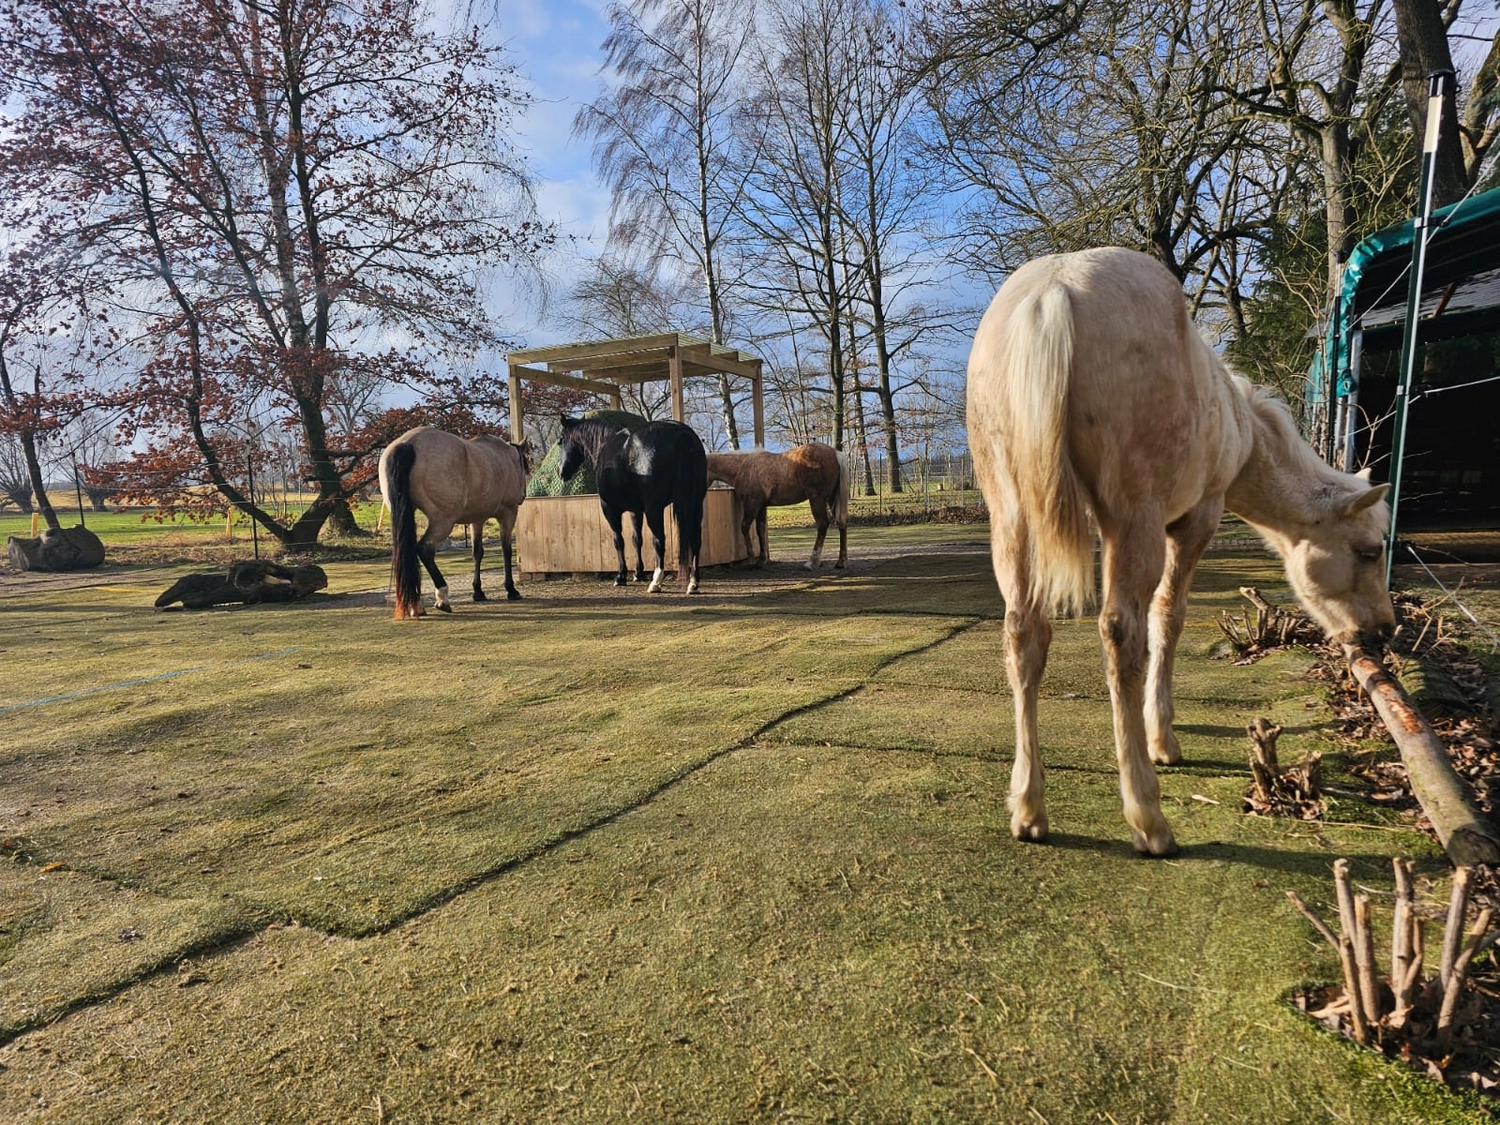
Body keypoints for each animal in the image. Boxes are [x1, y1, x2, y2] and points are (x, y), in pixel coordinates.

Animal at [378, 426, 531, 619]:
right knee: (425, 549)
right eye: (525, 465)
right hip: (443, 520)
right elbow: (506, 551)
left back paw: (415, 605)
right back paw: (442, 597)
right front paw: (511, 590)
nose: (523, 496)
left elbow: (477, 553)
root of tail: (407, 444)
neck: (504, 457)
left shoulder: (477, 520)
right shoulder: (508, 514)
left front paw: (478, 591)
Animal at [556, 416, 707, 594]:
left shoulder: (609, 508)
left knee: (659, 540)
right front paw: (638, 573)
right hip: (696, 504)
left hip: (654, 508)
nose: (561, 471)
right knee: (696, 540)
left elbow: (618, 540)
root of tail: (681, 434)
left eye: (560, 440)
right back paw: (693, 583)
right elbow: (637, 539)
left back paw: (656, 582)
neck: (604, 444)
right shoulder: (636, 510)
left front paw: (621, 576)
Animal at [705, 443, 849, 569]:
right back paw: (840, 562)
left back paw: (812, 562)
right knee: (841, 523)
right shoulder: (761, 506)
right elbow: (760, 529)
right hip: (832, 499)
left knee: (822, 524)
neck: (743, 466)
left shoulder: (752, 503)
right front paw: (761, 560)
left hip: (817, 499)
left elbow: (745, 526)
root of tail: (835, 453)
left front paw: (751, 557)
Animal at [967, 247, 1395, 857]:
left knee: (1024, 633)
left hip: (1011, 517)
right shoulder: (1195, 521)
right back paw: (1148, 816)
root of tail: (1055, 292)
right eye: (1367, 550)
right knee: (1121, 631)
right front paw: (1162, 737)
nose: (1382, 631)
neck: (1241, 423)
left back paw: (1028, 809)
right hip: (1132, 514)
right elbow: (1167, 616)